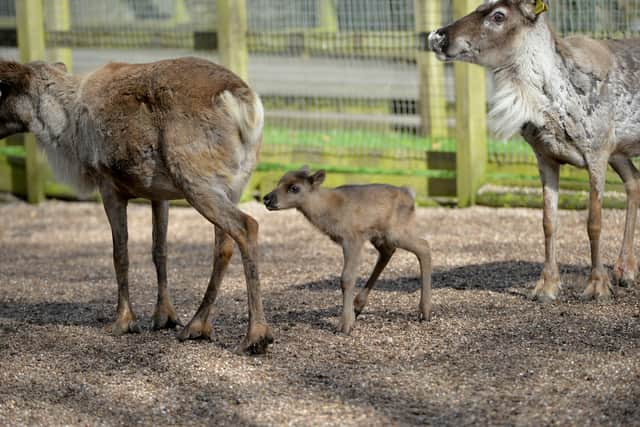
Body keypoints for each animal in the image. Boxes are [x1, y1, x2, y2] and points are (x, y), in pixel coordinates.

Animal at [0, 57, 273, 354]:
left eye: (2, 89)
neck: (68, 124)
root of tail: (243, 99)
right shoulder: (158, 194)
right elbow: (159, 251)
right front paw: (165, 316)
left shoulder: (108, 186)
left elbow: (120, 254)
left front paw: (123, 320)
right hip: (231, 186)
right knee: (223, 247)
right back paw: (196, 325)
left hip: (197, 182)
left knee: (247, 226)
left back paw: (256, 336)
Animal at [263, 167, 432, 334]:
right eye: (279, 182)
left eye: (294, 188)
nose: (267, 199)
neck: (327, 210)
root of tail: (410, 195)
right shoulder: (357, 239)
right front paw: (349, 318)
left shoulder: (352, 239)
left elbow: (347, 278)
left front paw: (345, 325)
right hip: (379, 236)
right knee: (388, 252)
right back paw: (358, 306)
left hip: (395, 232)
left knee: (423, 246)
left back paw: (424, 312)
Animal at [428, 0, 640, 302]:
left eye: (498, 16)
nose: (437, 36)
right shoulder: (545, 156)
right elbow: (548, 222)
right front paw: (547, 286)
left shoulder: (597, 151)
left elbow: (594, 222)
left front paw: (597, 286)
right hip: (620, 152)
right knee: (634, 181)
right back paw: (625, 270)